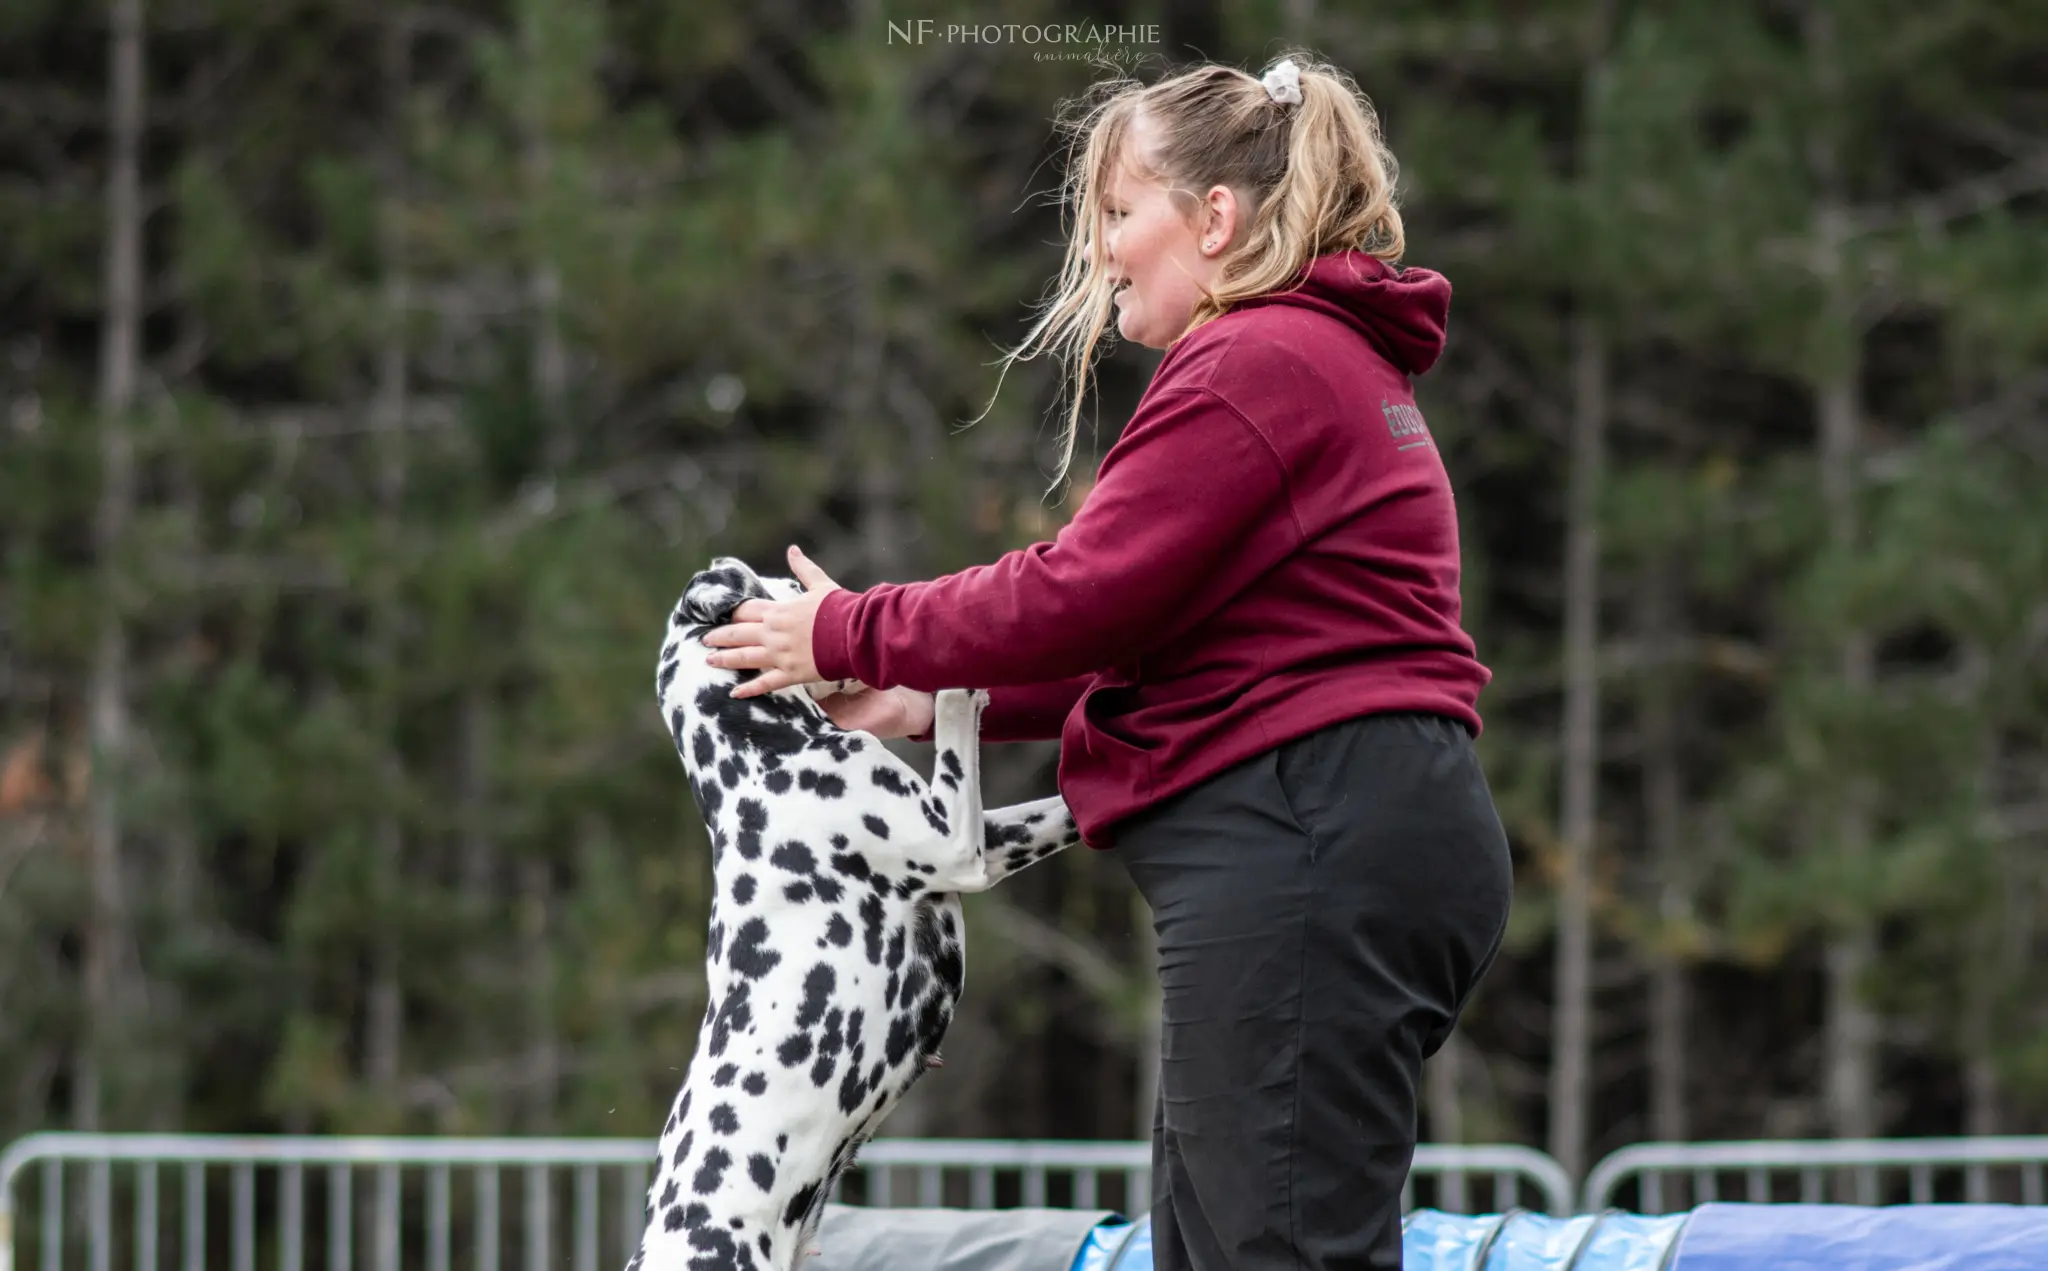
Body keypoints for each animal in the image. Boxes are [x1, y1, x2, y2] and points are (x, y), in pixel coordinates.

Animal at [630, 556, 1089, 1268]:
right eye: (794, 588)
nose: (842, 608)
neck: (757, 760)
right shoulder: (958, 842)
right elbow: (958, 719)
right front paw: (957, 677)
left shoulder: (988, 838)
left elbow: (1065, 803)